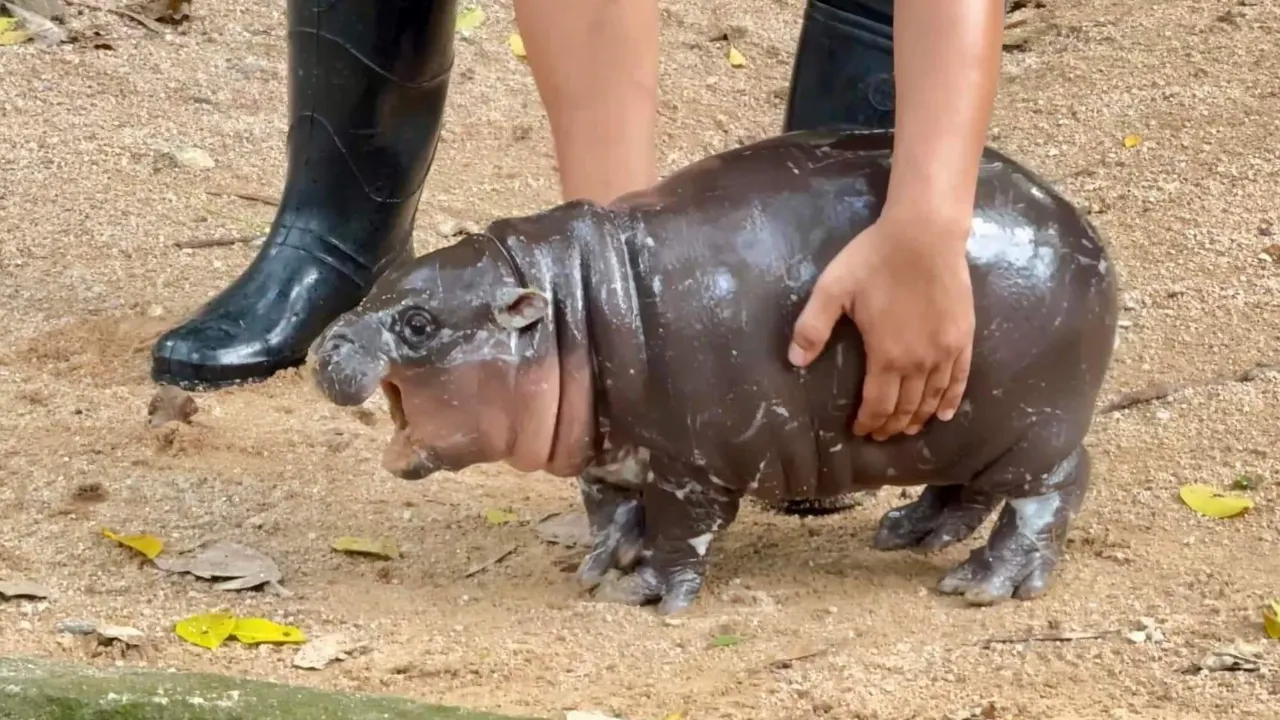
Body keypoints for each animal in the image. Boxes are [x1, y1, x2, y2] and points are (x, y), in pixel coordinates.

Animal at [308, 128, 1119, 615]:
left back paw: (983, 585)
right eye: (381, 283)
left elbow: (680, 532)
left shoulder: (689, 466)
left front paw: (644, 593)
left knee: (1051, 491)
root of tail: (1084, 229)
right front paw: (602, 562)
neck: (570, 309)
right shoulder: (612, 453)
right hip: (958, 424)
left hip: (1033, 428)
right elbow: (610, 506)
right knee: (966, 488)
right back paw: (906, 533)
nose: (324, 346)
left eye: (418, 323)